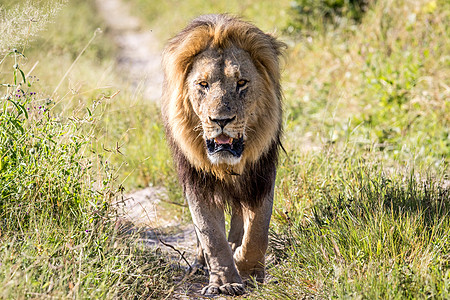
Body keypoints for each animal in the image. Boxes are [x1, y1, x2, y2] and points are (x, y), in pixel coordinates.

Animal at [160, 13, 284, 296]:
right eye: (203, 84)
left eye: (241, 83)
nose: (221, 120)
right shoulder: (197, 181)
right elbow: (210, 234)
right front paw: (225, 282)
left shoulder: (261, 176)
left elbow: (258, 230)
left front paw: (248, 270)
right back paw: (199, 264)